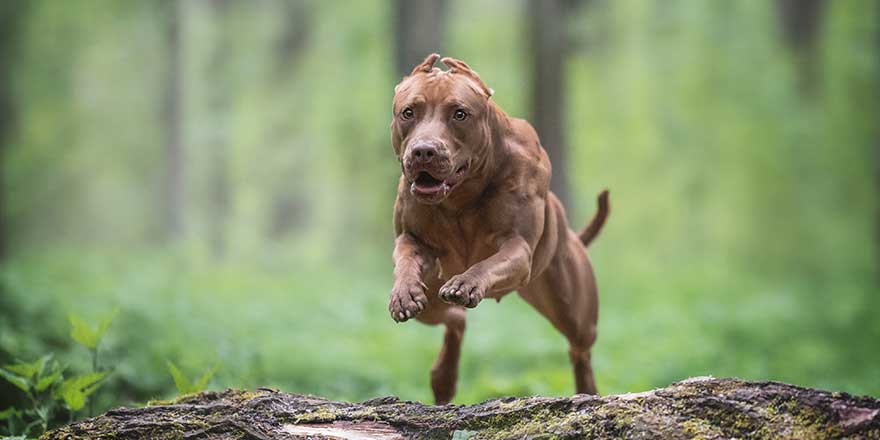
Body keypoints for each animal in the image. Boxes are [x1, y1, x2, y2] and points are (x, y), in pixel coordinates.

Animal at [388, 53, 608, 404]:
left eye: (460, 113)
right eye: (408, 112)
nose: (424, 151)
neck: (461, 194)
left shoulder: (518, 248)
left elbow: (488, 263)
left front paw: (466, 283)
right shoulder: (412, 237)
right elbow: (407, 256)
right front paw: (404, 291)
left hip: (572, 307)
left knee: (580, 347)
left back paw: (586, 391)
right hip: (432, 299)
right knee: (454, 320)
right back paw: (444, 376)